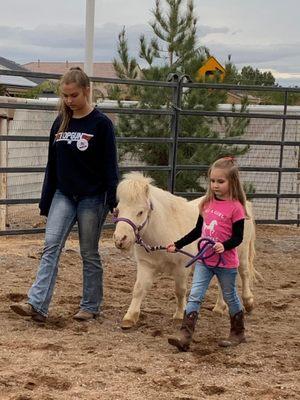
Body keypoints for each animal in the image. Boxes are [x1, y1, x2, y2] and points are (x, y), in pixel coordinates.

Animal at [112, 172, 258, 328]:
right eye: (118, 210)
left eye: (140, 212)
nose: (120, 239)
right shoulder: (146, 265)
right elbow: (139, 288)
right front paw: (130, 317)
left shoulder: (181, 268)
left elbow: (180, 291)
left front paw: (179, 315)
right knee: (223, 282)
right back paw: (219, 307)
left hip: (241, 254)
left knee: (244, 273)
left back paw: (248, 302)